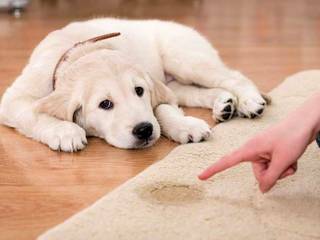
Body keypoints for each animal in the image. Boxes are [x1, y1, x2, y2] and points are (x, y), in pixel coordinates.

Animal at [0, 18, 268, 151]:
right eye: (105, 104)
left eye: (139, 91)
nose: (144, 130)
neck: (81, 50)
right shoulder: (13, 100)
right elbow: (33, 113)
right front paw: (65, 131)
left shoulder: (156, 89)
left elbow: (162, 109)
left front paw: (185, 126)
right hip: (177, 81)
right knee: (195, 92)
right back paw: (224, 104)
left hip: (184, 58)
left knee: (233, 76)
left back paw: (248, 101)